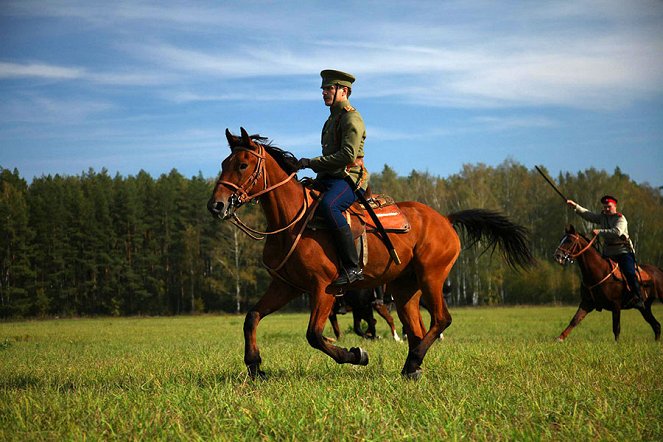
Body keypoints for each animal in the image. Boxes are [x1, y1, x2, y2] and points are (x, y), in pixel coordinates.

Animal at [208, 129, 536, 380]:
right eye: (224, 162)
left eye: (243, 165)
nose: (217, 205)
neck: (292, 221)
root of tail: (445, 218)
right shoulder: (286, 286)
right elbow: (252, 317)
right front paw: (255, 367)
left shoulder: (324, 289)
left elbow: (315, 335)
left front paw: (356, 355)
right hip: (405, 289)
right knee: (416, 329)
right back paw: (412, 367)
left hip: (432, 277)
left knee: (441, 320)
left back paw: (413, 361)